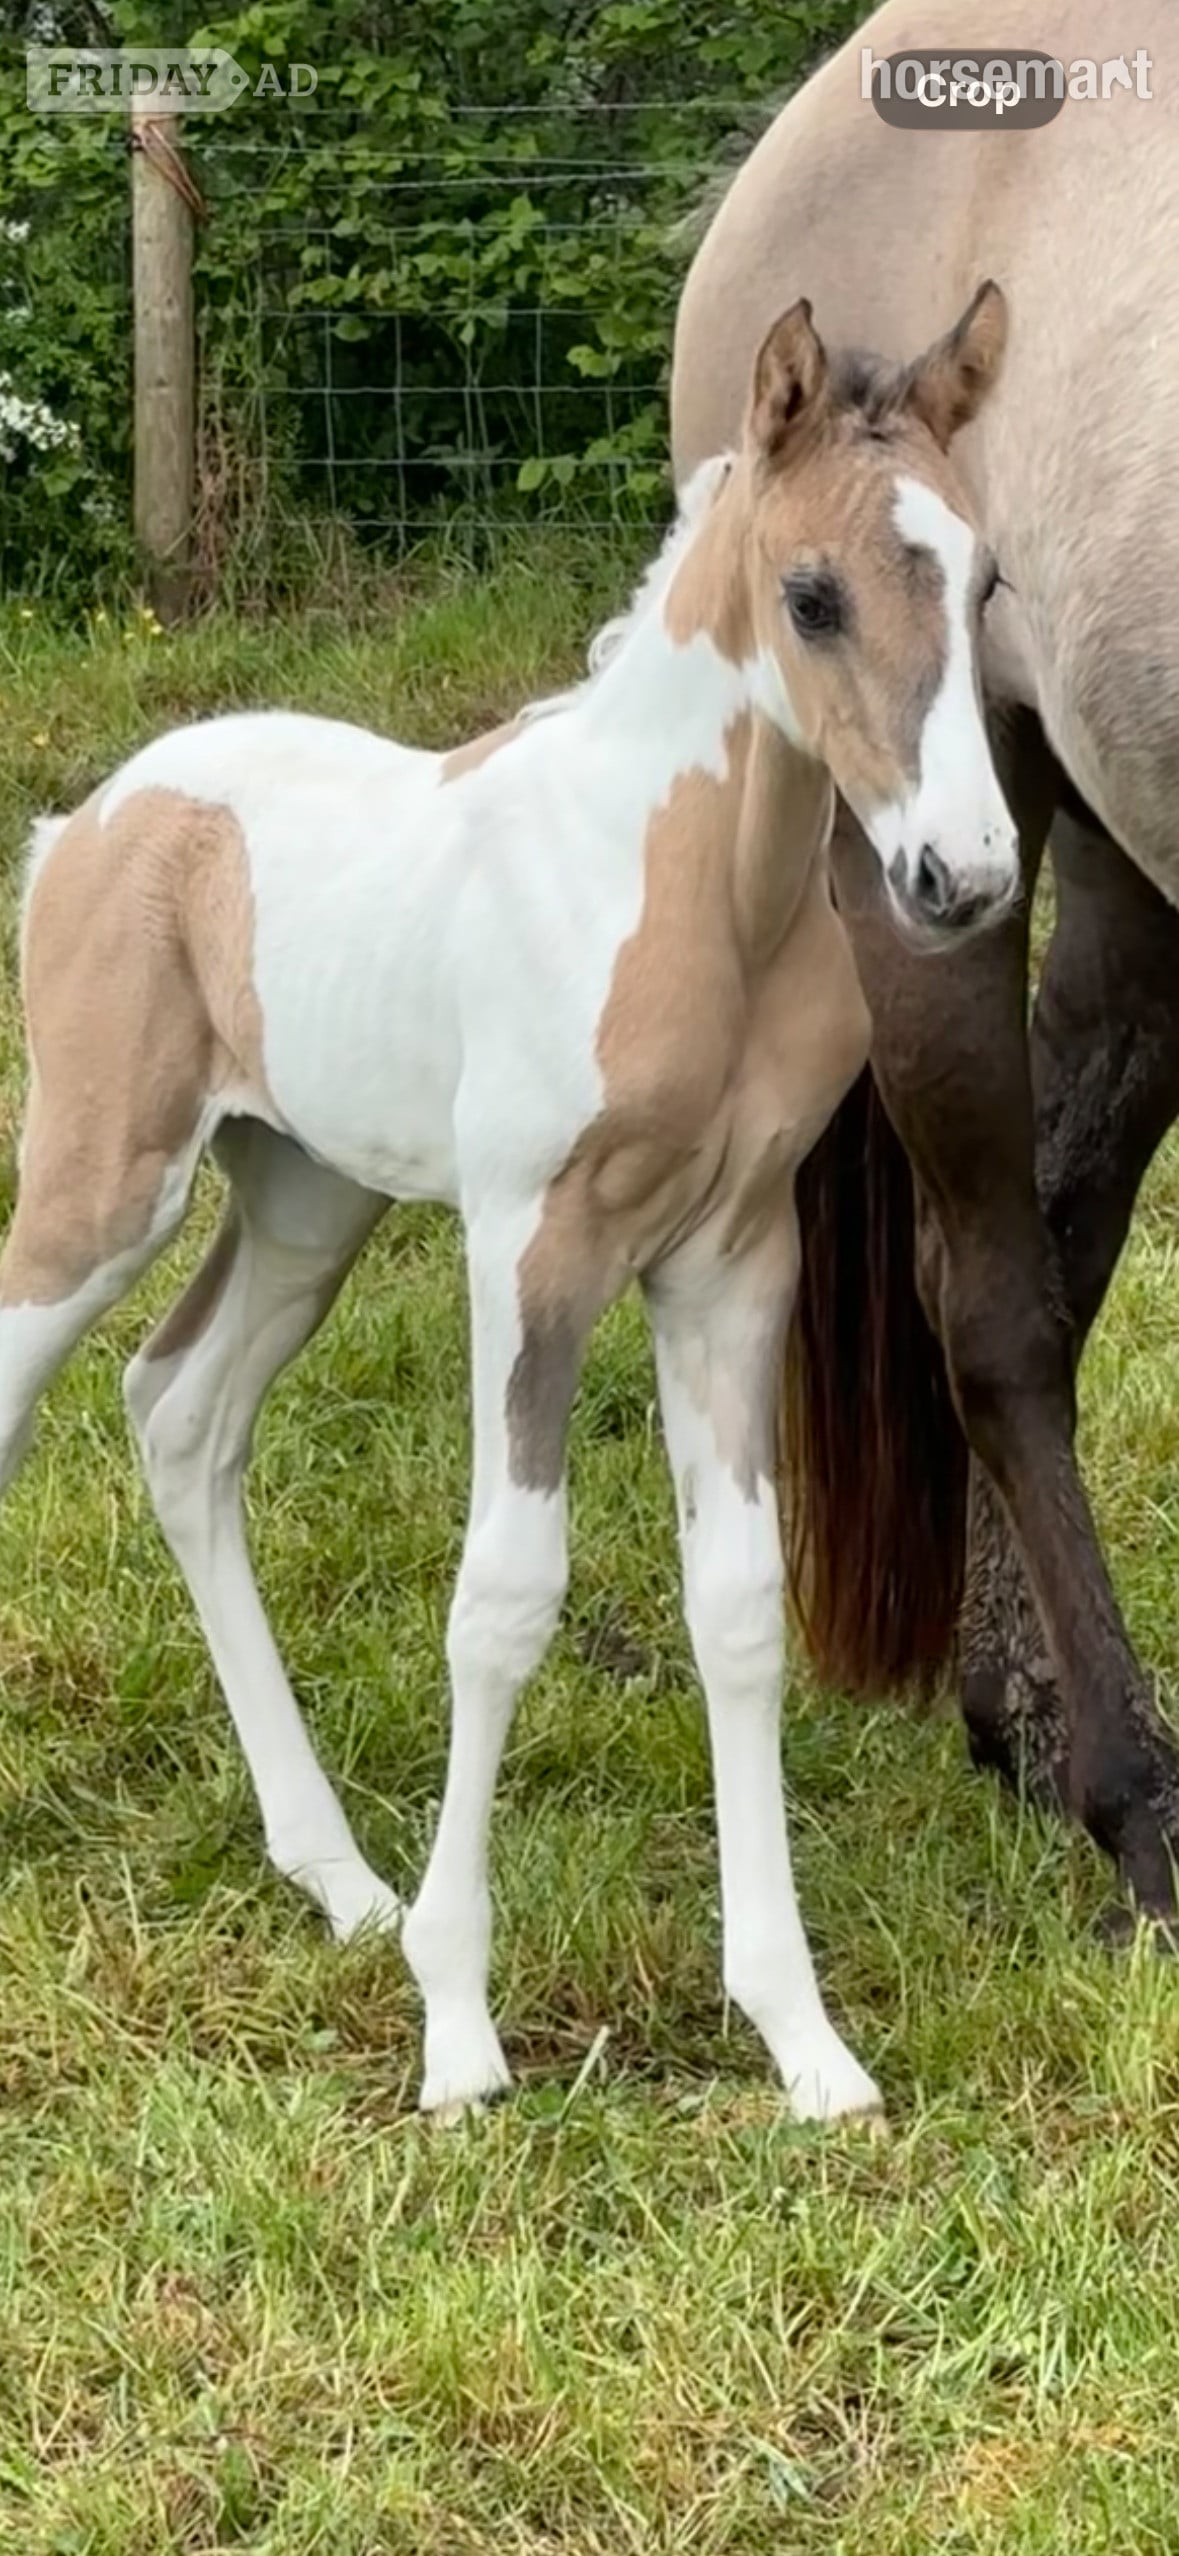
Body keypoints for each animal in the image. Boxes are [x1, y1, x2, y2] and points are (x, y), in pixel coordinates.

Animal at [2, 297, 1016, 2122]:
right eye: (811, 595)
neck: (700, 894)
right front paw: (459, 2031)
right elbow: (500, 1602)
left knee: (180, 1415)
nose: (957, 878)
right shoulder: (528, 1250)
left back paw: (336, 1877)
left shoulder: (727, 1265)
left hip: (305, 1204)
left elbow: (736, 1605)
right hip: (100, 1189)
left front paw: (801, 2041)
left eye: (982, 586)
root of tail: (90, 820)